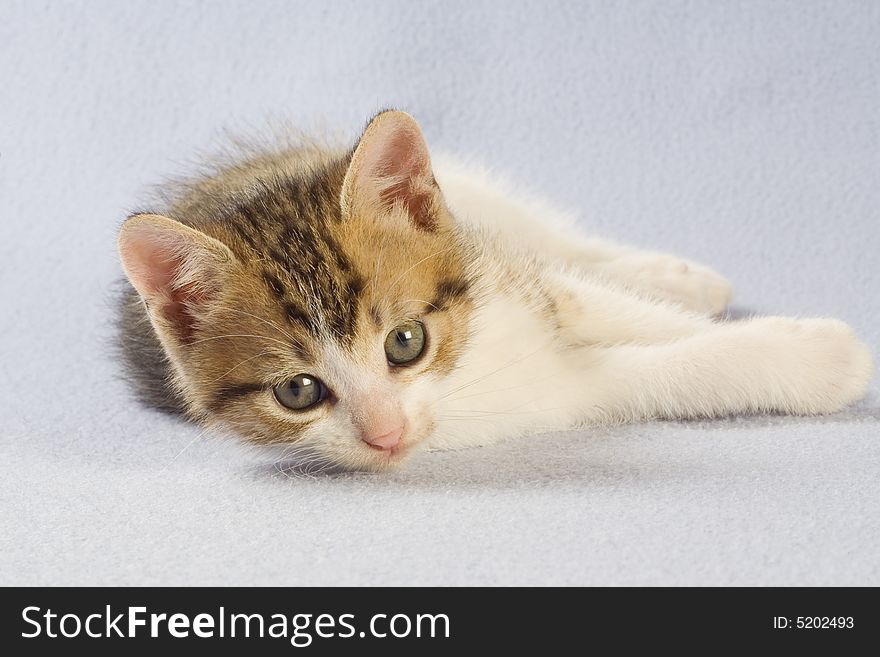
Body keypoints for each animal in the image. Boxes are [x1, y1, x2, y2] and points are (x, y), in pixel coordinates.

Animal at [117, 111, 872, 472]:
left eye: (406, 341)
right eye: (298, 391)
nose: (385, 435)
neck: (470, 357)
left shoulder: (515, 279)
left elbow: (613, 307)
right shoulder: (561, 393)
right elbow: (671, 370)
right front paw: (824, 360)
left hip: (472, 198)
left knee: (559, 245)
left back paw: (680, 277)